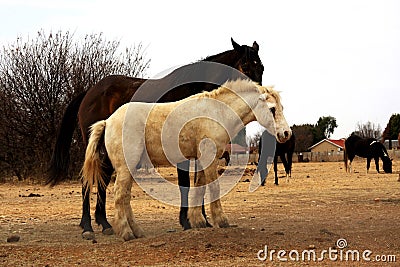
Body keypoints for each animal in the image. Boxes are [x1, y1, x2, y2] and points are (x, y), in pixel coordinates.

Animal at [47, 38, 266, 241]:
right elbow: (186, 185)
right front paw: (188, 221)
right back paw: (87, 227)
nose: (260, 95)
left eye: (261, 67)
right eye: (245, 65)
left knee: (102, 181)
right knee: (88, 181)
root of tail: (89, 92)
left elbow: (199, 183)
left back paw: (105, 223)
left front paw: (202, 220)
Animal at [83, 78, 292, 242]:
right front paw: (220, 221)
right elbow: (213, 188)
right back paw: (126, 233)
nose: (286, 133)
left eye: (281, 108)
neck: (217, 112)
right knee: (120, 195)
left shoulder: (200, 159)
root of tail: (108, 121)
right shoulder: (209, 158)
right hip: (125, 168)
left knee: (125, 197)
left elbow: (199, 188)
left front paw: (198, 221)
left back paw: (137, 232)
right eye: (272, 109)